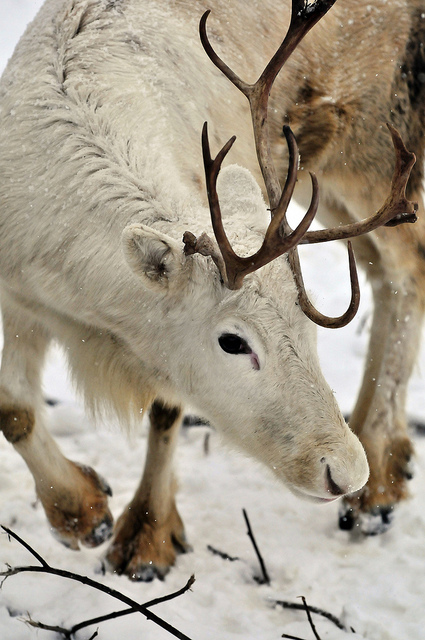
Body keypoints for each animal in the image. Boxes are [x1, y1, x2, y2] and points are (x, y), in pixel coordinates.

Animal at [0, 0, 418, 580]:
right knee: (382, 273)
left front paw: (146, 537)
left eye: (309, 329)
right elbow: (14, 411)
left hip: (372, 139)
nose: (342, 470)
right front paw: (82, 514)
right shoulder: (18, 294)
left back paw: (379, 482)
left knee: (408, 268)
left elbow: (166, 409)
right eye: (233, 342)